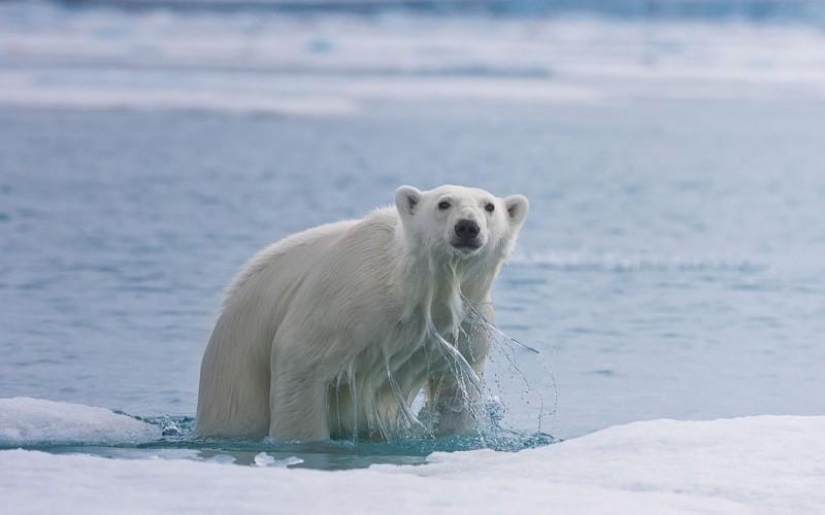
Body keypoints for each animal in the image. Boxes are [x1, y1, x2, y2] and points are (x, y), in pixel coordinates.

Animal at [196, 185, 524, 444]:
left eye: (489, 206)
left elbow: (456, 388)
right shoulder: (346, 299)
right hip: (237, 364)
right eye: (444, 203)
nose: (467, 227)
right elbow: (300, 359)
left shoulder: (467, 322)